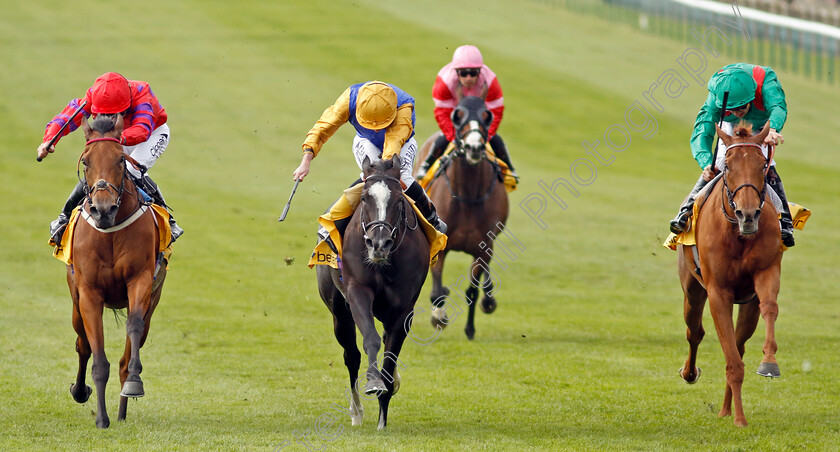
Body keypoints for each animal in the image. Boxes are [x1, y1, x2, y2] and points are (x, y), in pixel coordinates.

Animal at [66, 113, 167, 428]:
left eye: (121, 160)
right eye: (86, 161)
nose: (103, 209)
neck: (109, 231)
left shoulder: (141, 280)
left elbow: (133, 327)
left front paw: (133, 383)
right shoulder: (89, 293)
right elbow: (96, 356)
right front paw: (101, 418)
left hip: (153, 302)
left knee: (130, 348)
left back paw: (123, 408)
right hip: (75, 304)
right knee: (82, 344)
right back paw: (80, 391)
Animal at [318, 155, 430, 430]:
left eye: (399, 199)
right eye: (365, 197)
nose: (379, 243)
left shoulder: (404, 309)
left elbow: (391, 356)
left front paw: (383, 416)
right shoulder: (357, 292)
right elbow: (371, 339)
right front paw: (373, 382)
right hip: (339, 312)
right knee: (351, 355)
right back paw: (356, 411)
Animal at [416, 96, 508, 340]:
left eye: (486, 117)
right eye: (458, 118)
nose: (474, 147)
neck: (467, 196)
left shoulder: (483, 247)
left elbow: (472, 291)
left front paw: (470, 328)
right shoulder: (440, 244)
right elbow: (437, 290)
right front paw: (439, 316)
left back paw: (489, 297)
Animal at [676, 122, 780, 428]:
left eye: (762, 165)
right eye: (729, 167)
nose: (748, 214)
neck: (738, 235)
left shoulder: (765, 273)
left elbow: (770, 307)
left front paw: (769, 363)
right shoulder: (718, 292)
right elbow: (731, 360)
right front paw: (741, 420)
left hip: (747, 305)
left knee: (738, 343)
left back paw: (725, 409)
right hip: (692, 290)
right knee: (695, 331)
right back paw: (690, 374)